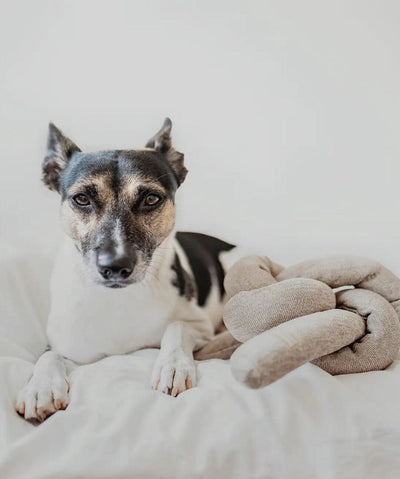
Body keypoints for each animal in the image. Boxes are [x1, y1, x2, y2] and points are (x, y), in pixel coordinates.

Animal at [14, 120, 241, 424]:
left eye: (151, 198)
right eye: (81, 199)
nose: (114, 266)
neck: (119, 299)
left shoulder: (199, 324)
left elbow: (176, 327)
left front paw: (173, 366)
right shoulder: (65, 345)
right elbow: (48, 357)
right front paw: (41, 387)